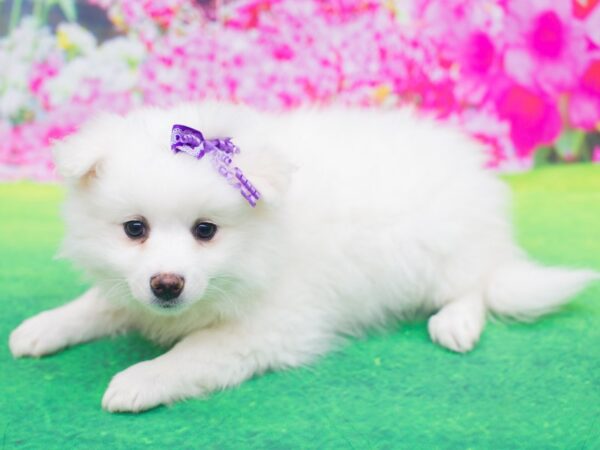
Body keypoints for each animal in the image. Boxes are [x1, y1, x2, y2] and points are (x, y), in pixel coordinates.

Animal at [7, 102, 596, 412]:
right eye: (135, 229)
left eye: (205, 231)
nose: (167, 285)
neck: (259, 249)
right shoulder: (129, 285)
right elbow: (100, 302)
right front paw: (41, 327)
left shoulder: (272, 326)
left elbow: (197, 351)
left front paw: (140, 379)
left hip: (438, 253)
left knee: (473, 286)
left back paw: (455, 323)